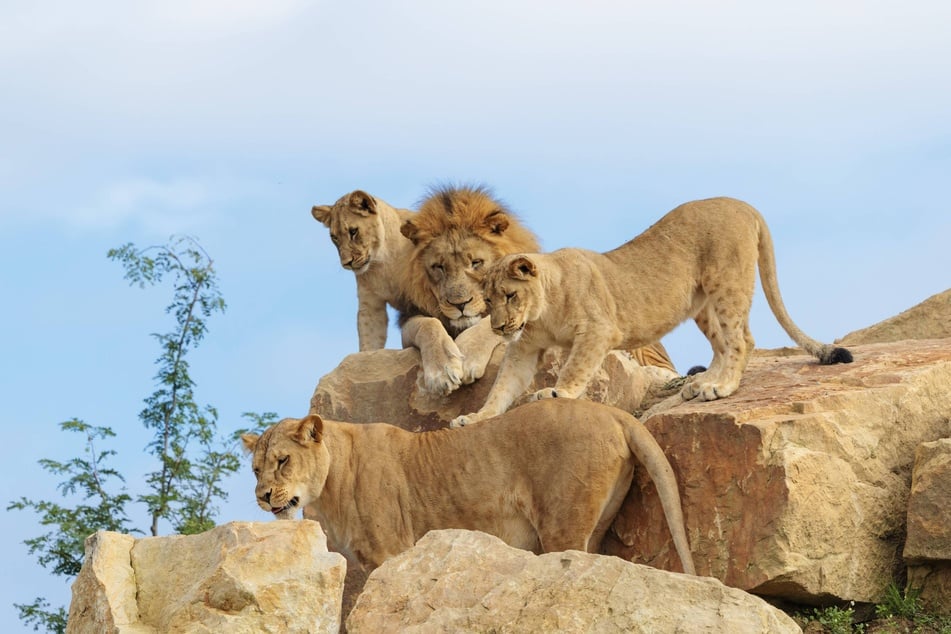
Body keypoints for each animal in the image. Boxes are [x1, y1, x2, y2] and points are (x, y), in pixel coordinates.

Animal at [241, 398, 696, 576]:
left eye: (283, 461)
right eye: (256, 469)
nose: (263, 497)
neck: (331, 483)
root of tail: (612, 412)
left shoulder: (391, 551)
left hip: (562, 524)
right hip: (595, 524)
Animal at [311, 190, 417, 351]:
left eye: (353, 231)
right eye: (334, 237)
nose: (346, 263)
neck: (383, 262)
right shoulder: (371, 304)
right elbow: (369, 339)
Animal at [400, 184, 678, 396]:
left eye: (476, 262)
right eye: (438, 267)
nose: (460, 304)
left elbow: (491, 325)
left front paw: (467, 356)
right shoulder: (410, 321)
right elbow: (427, 325)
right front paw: (441, 372)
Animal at [452, 197, 853, 427]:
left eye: (509, 295)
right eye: (488, 302)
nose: (500, 327)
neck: (542, 311)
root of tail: (745, 204)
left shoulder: (599, 330)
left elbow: (574, 367)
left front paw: (557, 393)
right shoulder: (523, 348)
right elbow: (502, 387)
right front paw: (475, 417)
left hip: (726, 284)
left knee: (742, 340)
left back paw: (721, 387)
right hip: (702, 302)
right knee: (722, 344)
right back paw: (701, 384)